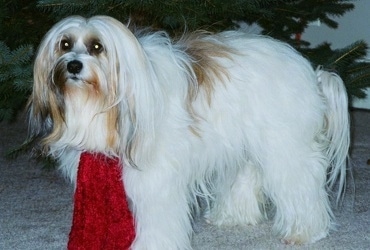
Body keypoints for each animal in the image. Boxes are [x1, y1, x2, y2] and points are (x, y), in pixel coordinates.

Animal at [28, 16, 350, 250]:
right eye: (65, 44)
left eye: (97, 47)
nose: (73, 65)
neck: (106, 107)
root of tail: (311, 72)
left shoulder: (155, 180)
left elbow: (157, 220)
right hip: (241, 142)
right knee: (245, 175)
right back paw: (233, 217)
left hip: (284, 147)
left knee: (301, 185)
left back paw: (306, 231)